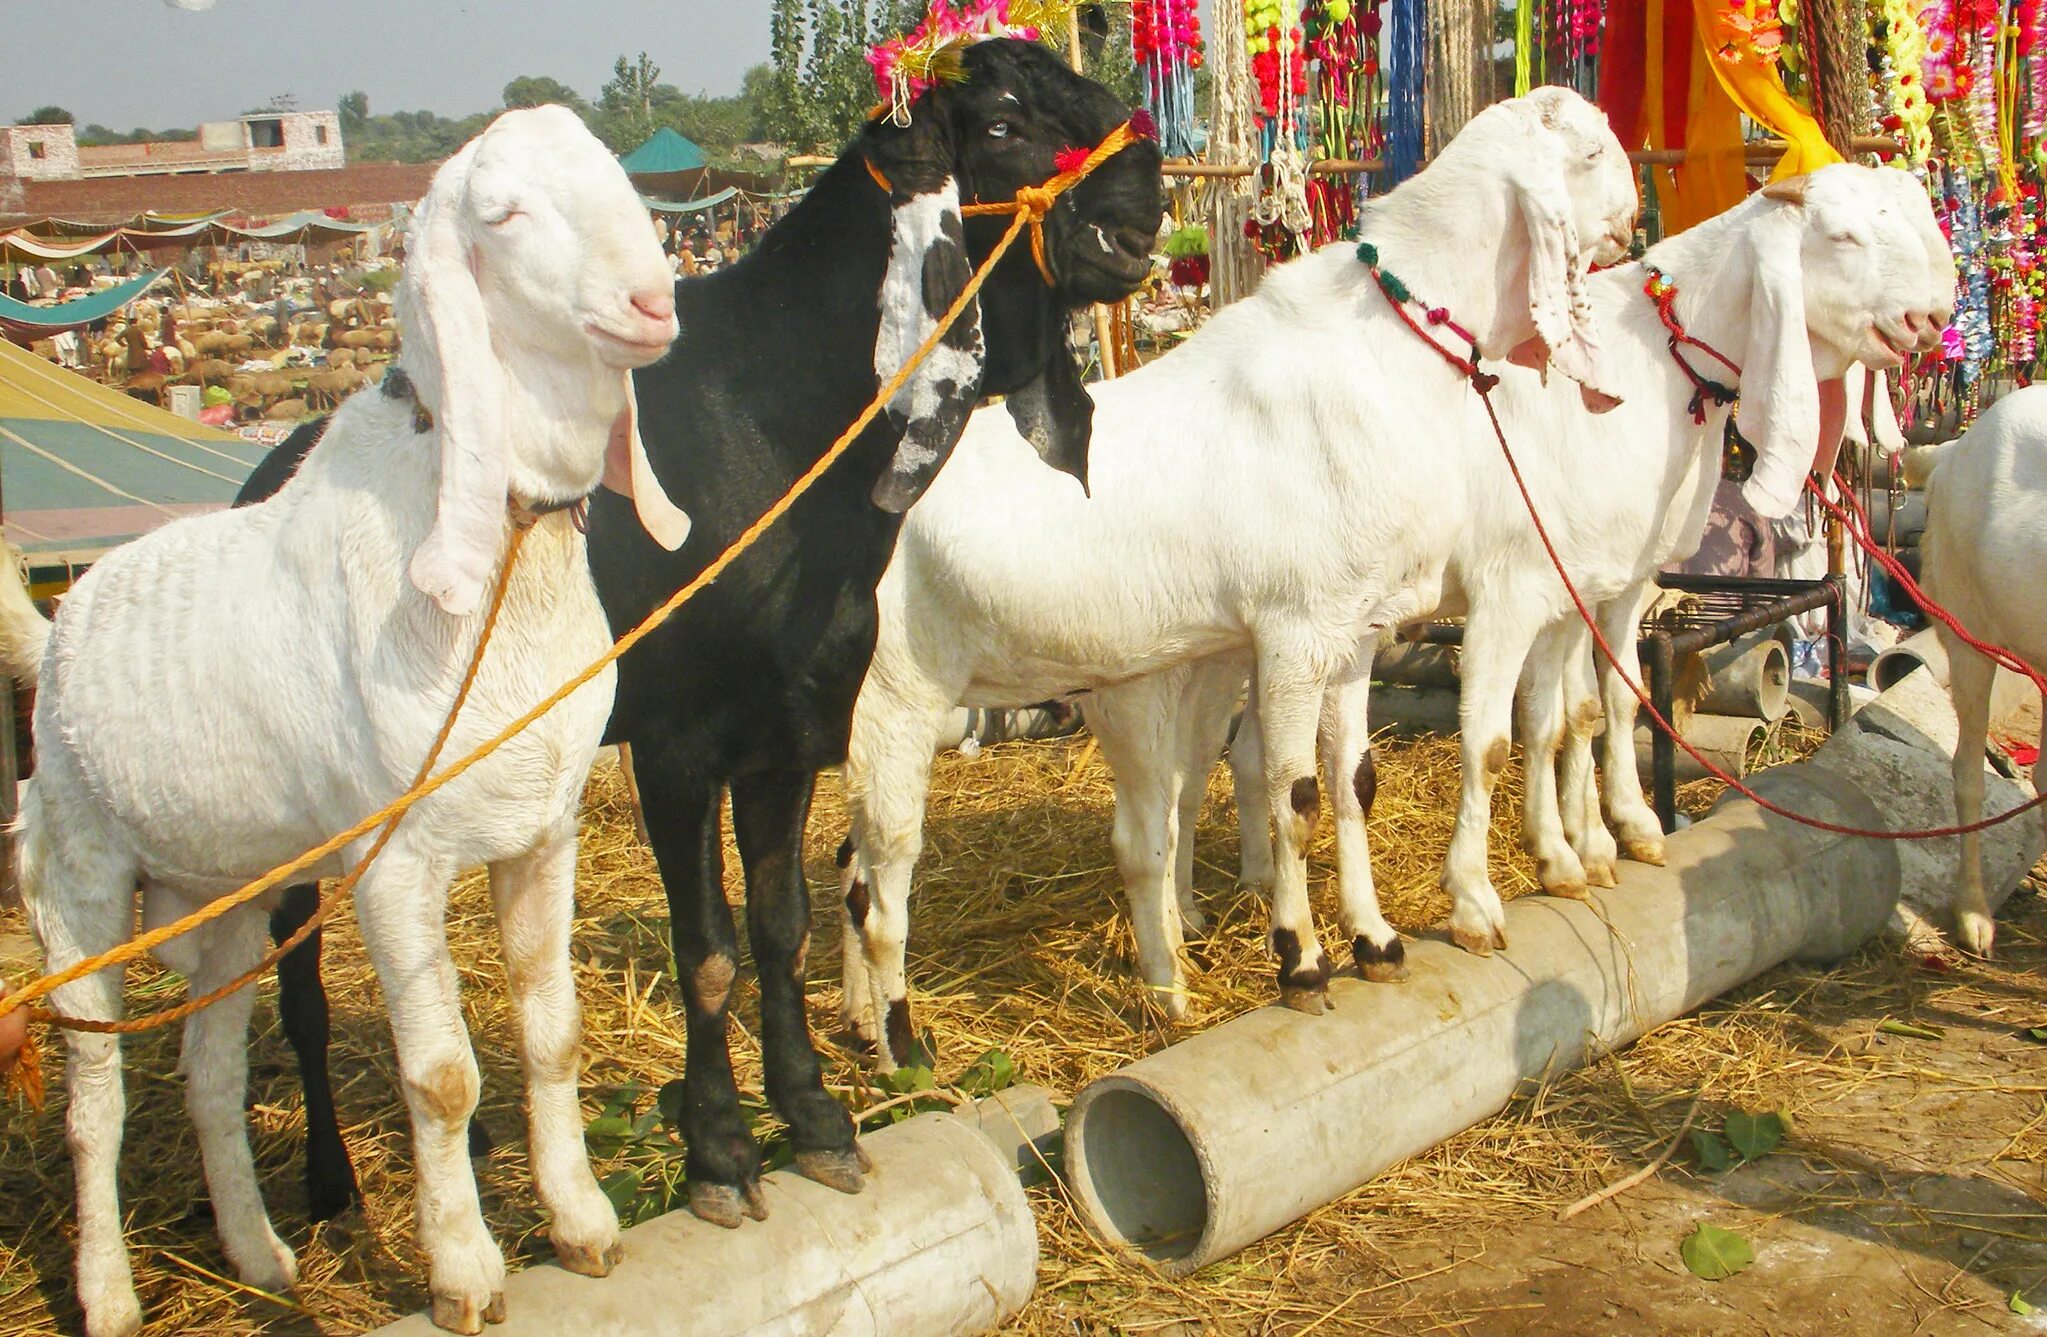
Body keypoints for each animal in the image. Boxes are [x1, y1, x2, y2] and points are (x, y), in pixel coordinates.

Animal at [9, 106, 687, 1334]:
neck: (491, 554)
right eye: (504, 213)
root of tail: (58, 631)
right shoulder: (396, 859)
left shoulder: (543, 830)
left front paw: (581, 1222)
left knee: (209, 1066)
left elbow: (551, 1029)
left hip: (232, 889)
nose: (653, 302)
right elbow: (442, 1075)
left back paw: (261, 1255)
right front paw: (464, 1270)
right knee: (95, 1099)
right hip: (76, 883)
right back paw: (112, 1293)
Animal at [247, 39, 1162, 1228]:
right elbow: (709, 950)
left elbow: (782, 925)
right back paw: (327, 1176)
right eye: (1004, 120)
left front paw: (815, 1119)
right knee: (299, 980)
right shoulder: (675, 747)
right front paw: (720, 1149)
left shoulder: (790, 732)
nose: (1144, 190)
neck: (774, 429)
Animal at [831, 85, 1629, 1064]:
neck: (1380, 354)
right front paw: (1302, 961)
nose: (1632, 221)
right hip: (896, 695)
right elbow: (1291, 794)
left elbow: (1352, 783)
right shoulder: (1291, 630)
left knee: (852, 869)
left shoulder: (1354, 632)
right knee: (884, 882)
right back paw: (905, 1050)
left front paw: (1376, 942)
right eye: (1588, 155)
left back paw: (861, 1022)